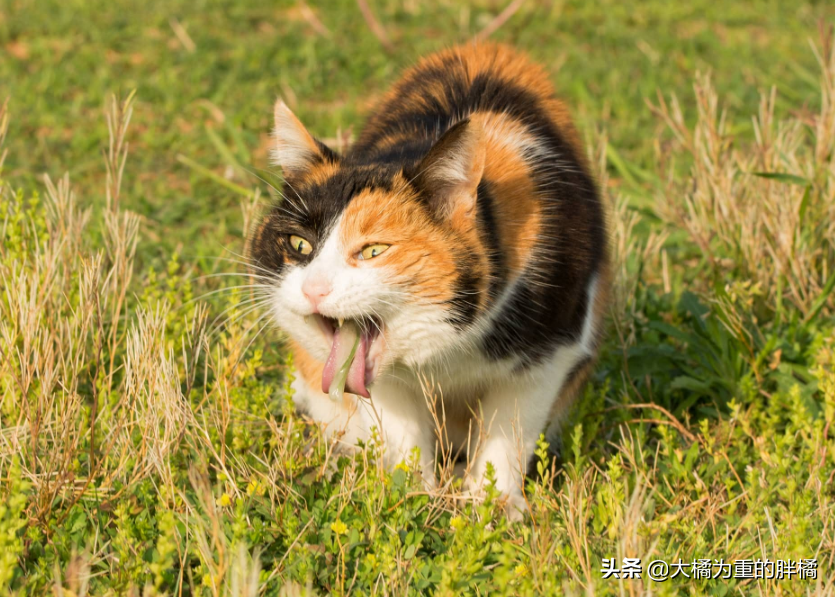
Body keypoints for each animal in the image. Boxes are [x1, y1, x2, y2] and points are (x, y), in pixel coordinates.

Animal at [251, 43, 612, 516]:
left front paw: (494, 509)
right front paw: (411, 498)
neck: (448, 349)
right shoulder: (382, 384)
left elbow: (509, 431)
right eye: (299, 244)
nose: (314, 288)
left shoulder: (550, 353)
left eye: (374, 250)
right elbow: (404, 435)